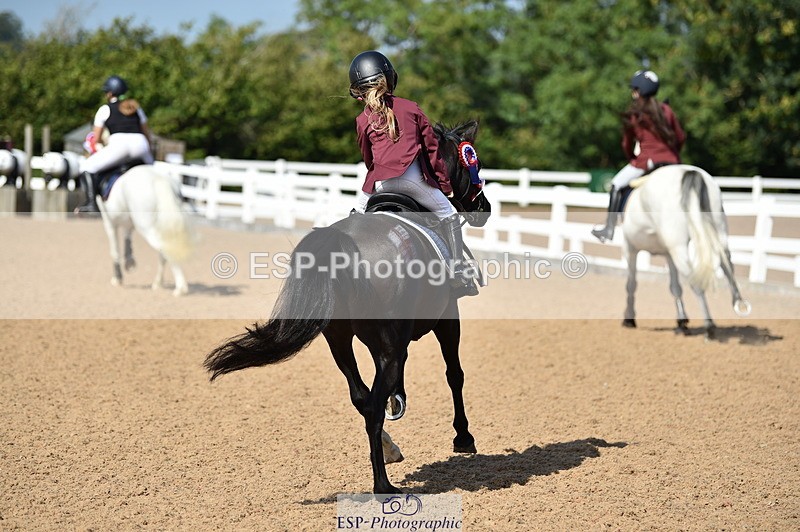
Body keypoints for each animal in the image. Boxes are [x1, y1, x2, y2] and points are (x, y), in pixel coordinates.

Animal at [96, 164, 193, 296]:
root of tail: (159, 179)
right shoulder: (128, 222)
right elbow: (127, 238)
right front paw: (129, 262)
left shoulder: (109, 222)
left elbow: (114, 251)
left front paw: (117, 278)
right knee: (164, 252)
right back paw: (158, 283)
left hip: (146, 227)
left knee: (166, 249)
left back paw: (180, 288)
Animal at [204, 121, 490, 494]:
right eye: (473, 161)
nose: (483, 208)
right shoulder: (447, 319)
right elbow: (454, 373)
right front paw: (463, 437)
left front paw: (400, 403)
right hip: (383, 340)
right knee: (373, 404)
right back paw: (383, 485)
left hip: (338, 340)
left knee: (362, 397)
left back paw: (388, 450)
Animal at [620, 164, 751, 337]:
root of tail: (688, 171)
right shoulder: (668, 254)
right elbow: (675, 287)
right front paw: (681, 321)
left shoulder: (630, 248)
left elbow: (631, 284)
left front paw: (629, 318)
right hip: (717, 233)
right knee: (727, 265)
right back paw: (737, 302)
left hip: (678, 248)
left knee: (697, 282)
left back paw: (709, 325)